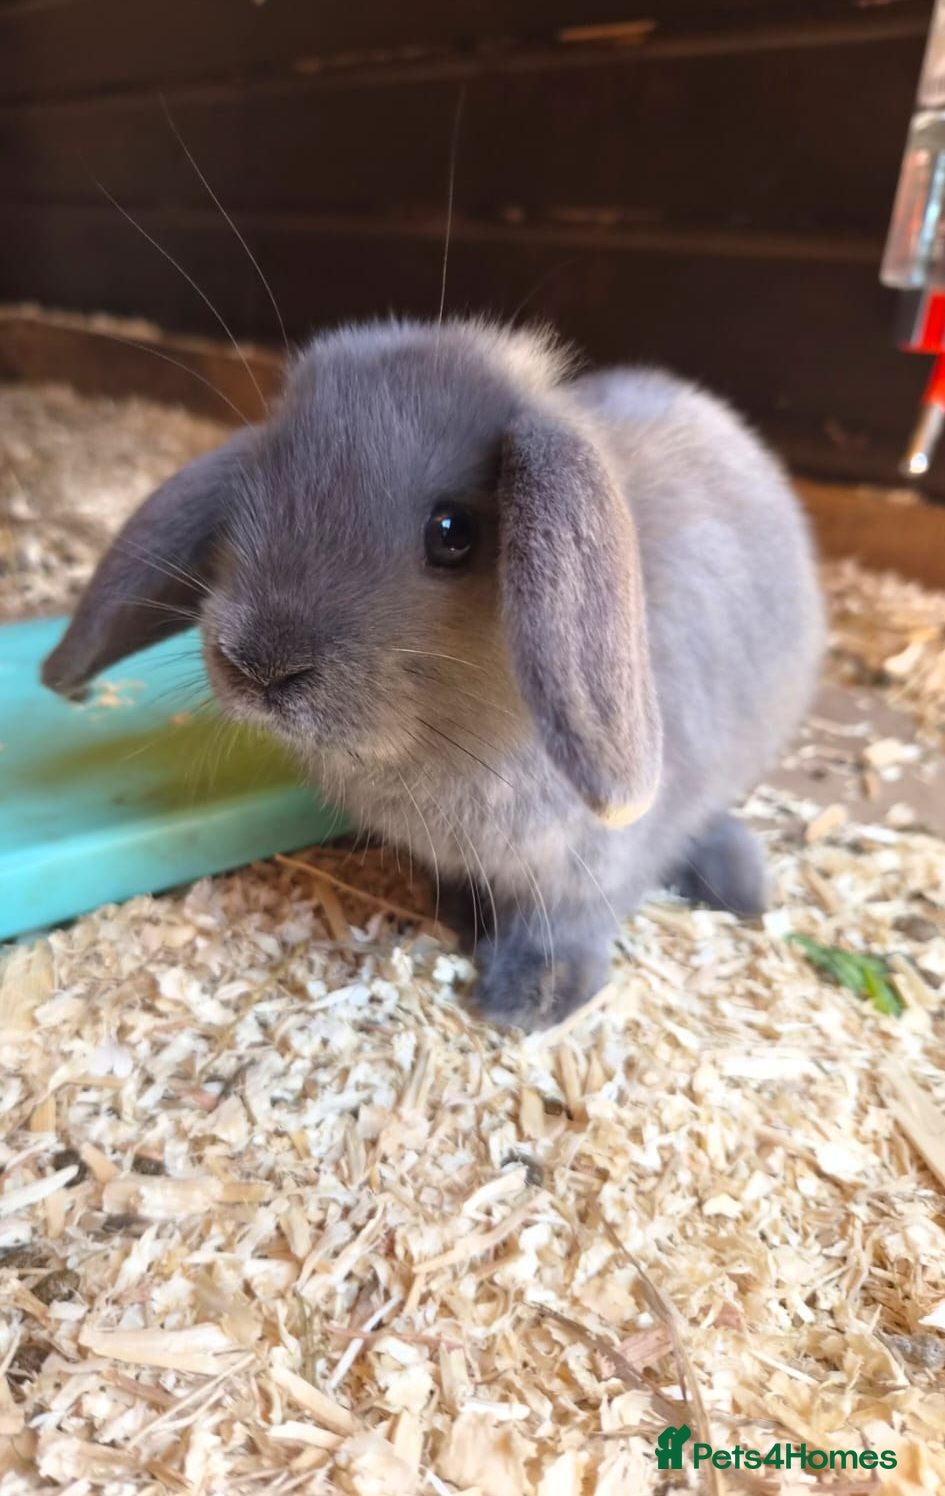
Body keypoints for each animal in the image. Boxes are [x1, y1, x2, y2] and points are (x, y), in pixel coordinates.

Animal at [42, 318, 825, 1031]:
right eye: (245, 504)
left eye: (452, 532)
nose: (258, 664)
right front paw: (462, 917)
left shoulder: (592, 866)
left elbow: (568, 922)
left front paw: (528, 1001)